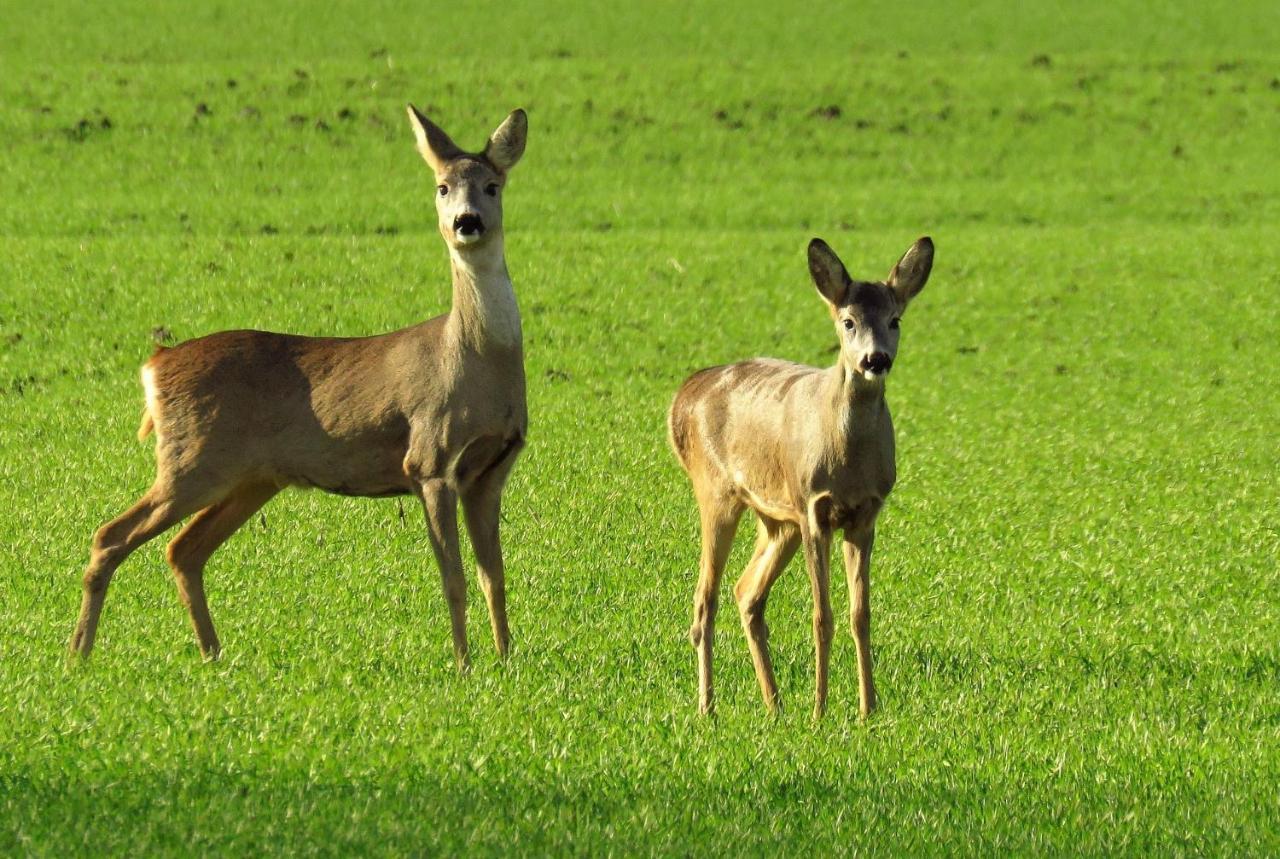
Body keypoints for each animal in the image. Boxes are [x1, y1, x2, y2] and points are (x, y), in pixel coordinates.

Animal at [68, 105, 529, 670]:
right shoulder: (429, 458)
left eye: (492, 185)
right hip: (191, 461)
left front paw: (506, 662)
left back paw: (213, 655)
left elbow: (495, 578)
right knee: (110, 535)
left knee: (183, 549)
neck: (476, 362)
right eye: (442, 187)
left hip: (251, 478)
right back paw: (80, 656)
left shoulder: (490, 470)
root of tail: (155, 365)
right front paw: (464, 667)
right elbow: (454, 579)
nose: (467, 222)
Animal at [670, 235, 931, 716]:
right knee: (704, 600)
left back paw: (774, 705)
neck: (847, 459)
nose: (875, 359)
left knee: (747, 593)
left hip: (776, 519)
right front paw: (820, 710)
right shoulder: (813, 508)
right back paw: (708, 708)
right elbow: (821, 615)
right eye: (847, 321)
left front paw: (868, 710)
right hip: (717, 491)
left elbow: (860, 615)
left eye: (895, 319)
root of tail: (684, 397)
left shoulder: (866, 514)